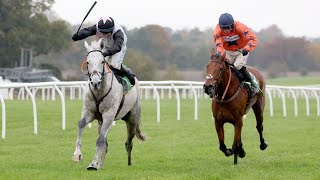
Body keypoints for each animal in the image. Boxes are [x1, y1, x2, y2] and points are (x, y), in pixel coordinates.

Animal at [72, 38, 146, 171]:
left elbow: (100, 141)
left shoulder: (108, 115)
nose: (95, 82)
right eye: (88, 62)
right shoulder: (89, 112)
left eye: (102, 61)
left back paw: (128, 164)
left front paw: (92, 164)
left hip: (132, 119)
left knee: (128, 142)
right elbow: (81, 125)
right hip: (101, 122)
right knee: (105, 144)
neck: (99, 91)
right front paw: (77, 155)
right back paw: (101, 164)